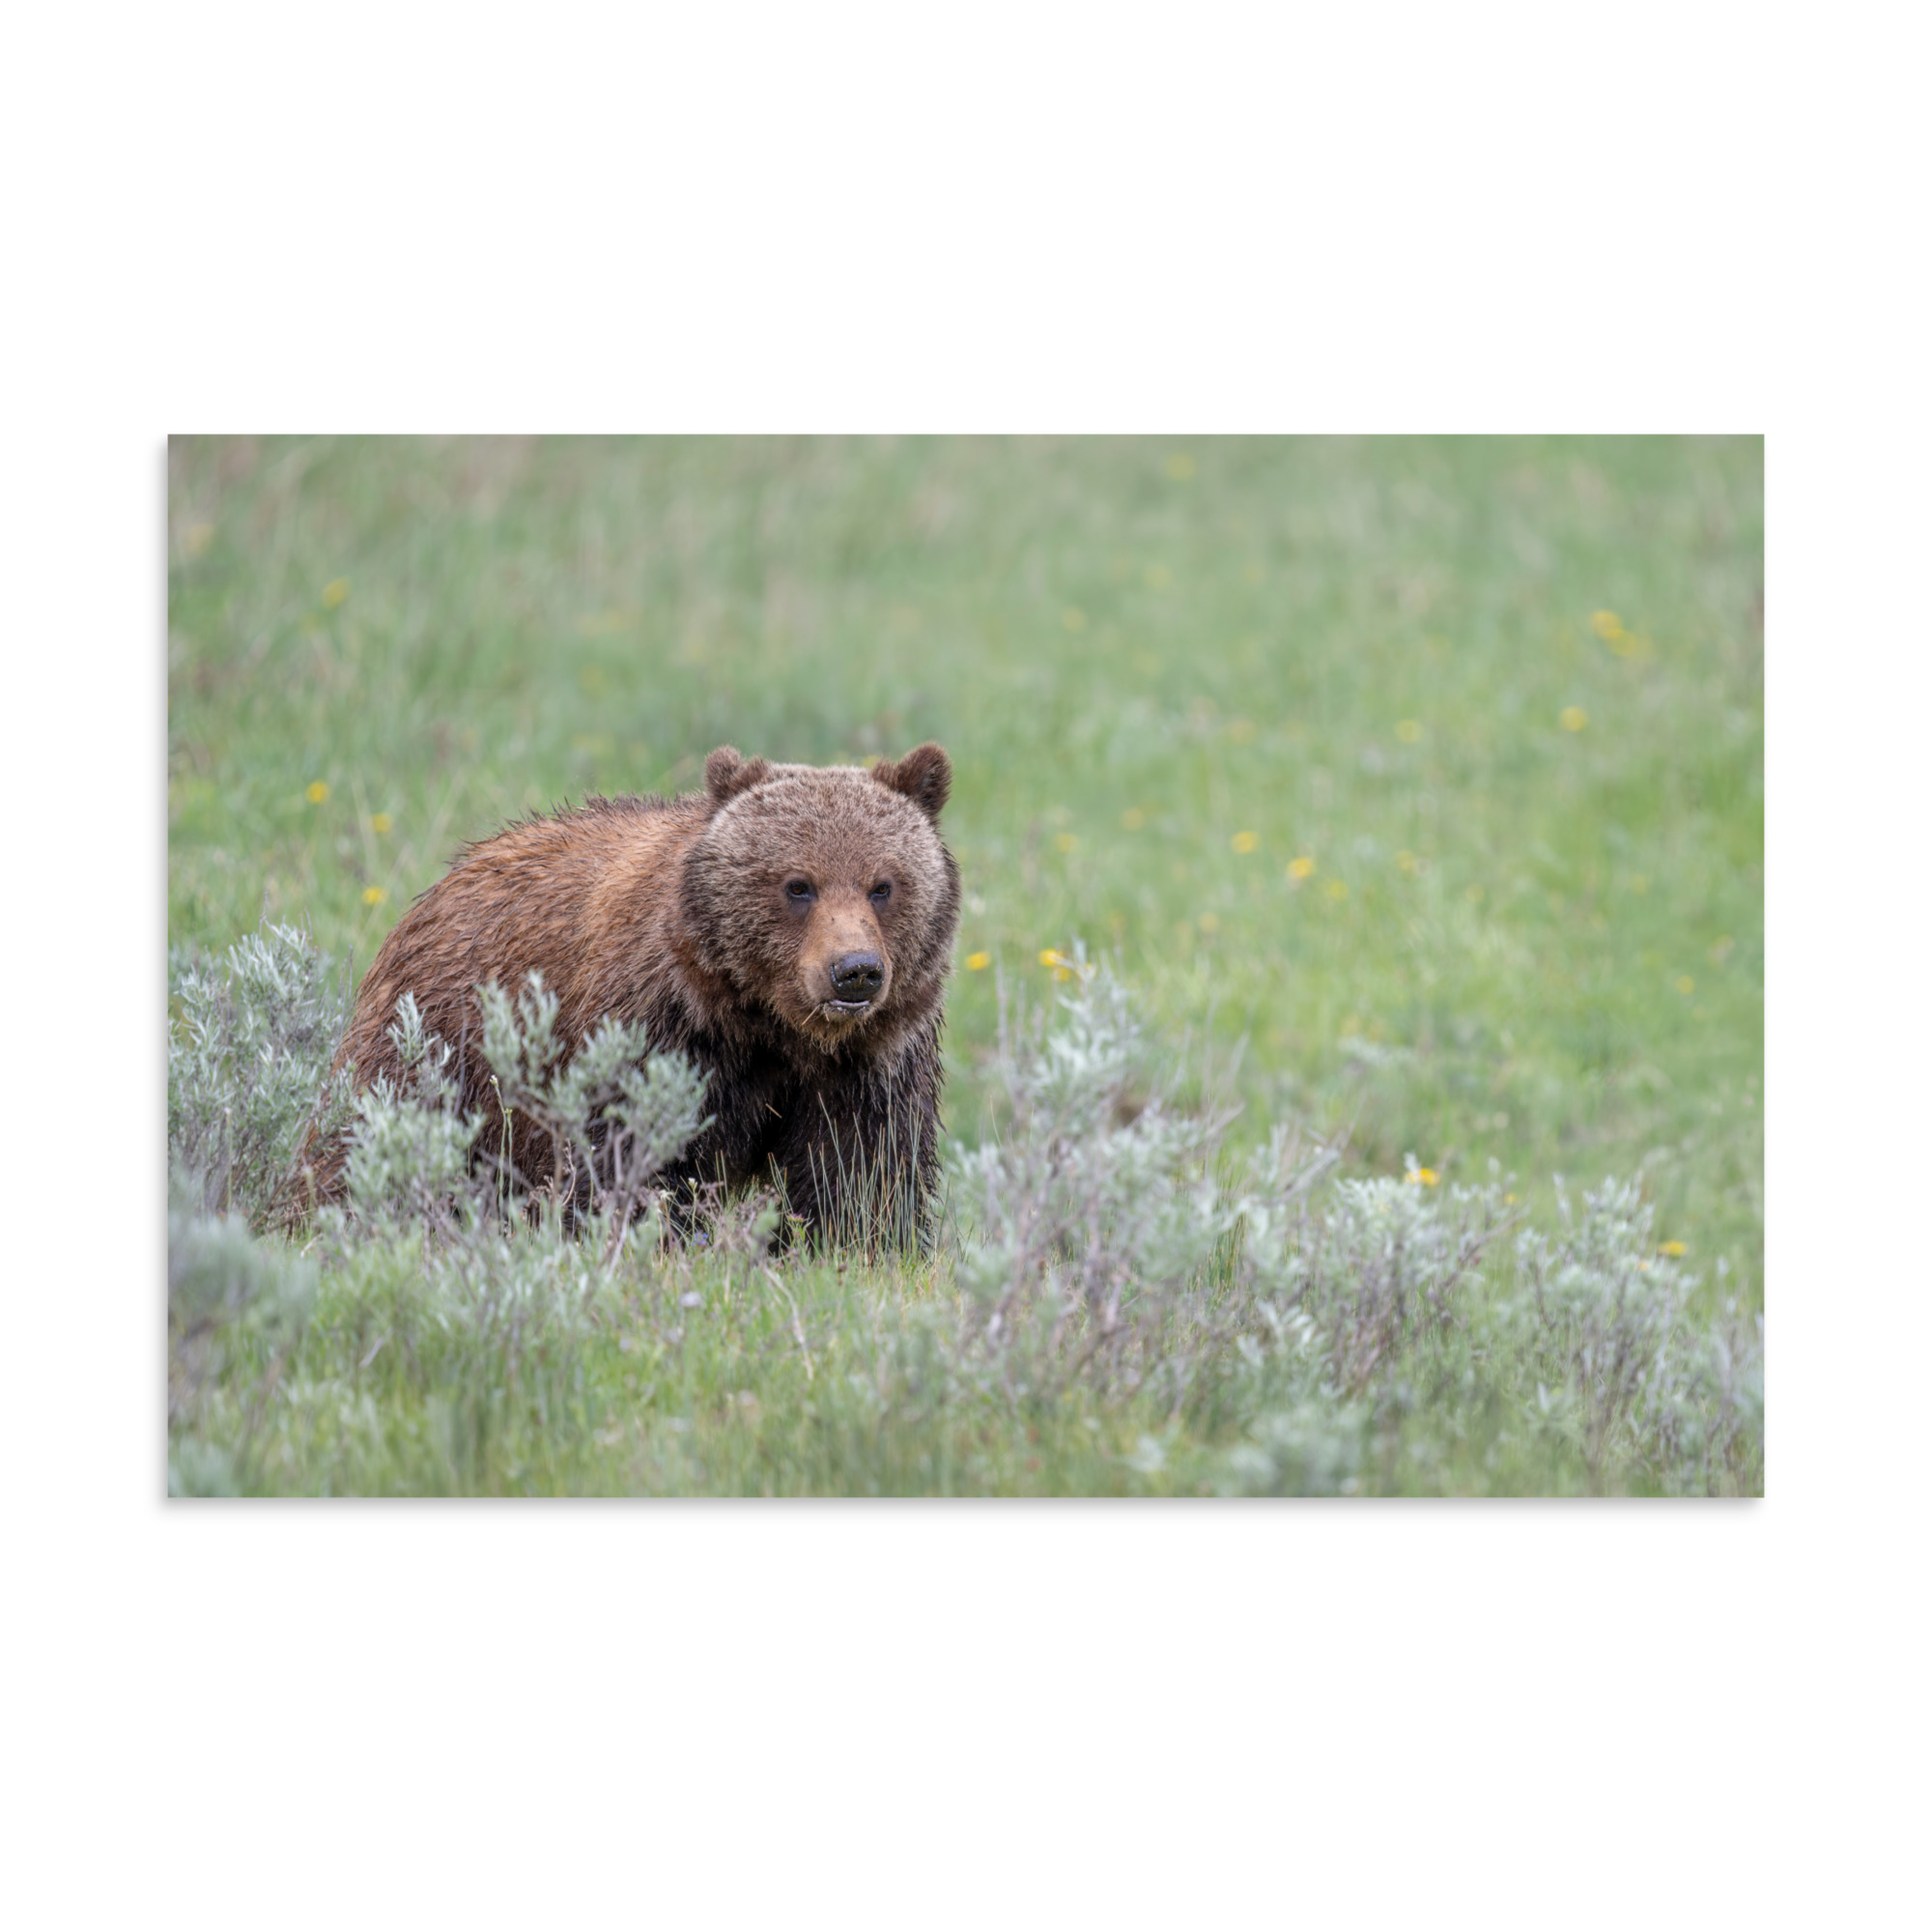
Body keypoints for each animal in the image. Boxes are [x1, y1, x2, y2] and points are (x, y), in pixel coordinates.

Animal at [311, 743, 960, 1244]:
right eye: (798, 885)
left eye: (883, 885)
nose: (854, 971)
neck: (770, 1025)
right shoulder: (658, 1030)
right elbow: (626, 1156)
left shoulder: (870, 1062)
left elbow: (859, 1174)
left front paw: (851, 1246)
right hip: (439, 1044)